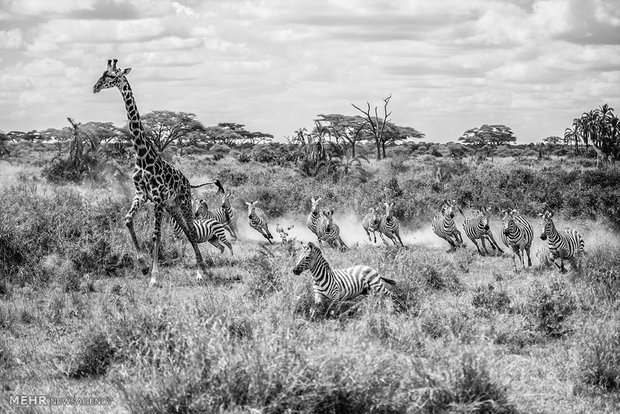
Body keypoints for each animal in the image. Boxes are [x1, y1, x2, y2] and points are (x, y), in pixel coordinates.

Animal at [93, 58, 224, 286]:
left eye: (111, 76)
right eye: (103, 73)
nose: (95, 87)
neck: (142, 155)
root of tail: (187, 181)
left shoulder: (157, 198)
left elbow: (156, 235)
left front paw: (154, 276)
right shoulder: (141, 195)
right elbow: (127, 220)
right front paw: (143, 265)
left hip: (182, 201)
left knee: (191, 229)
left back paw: (201, 271)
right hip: (172, 205)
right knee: (187, 231)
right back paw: (202, 268)